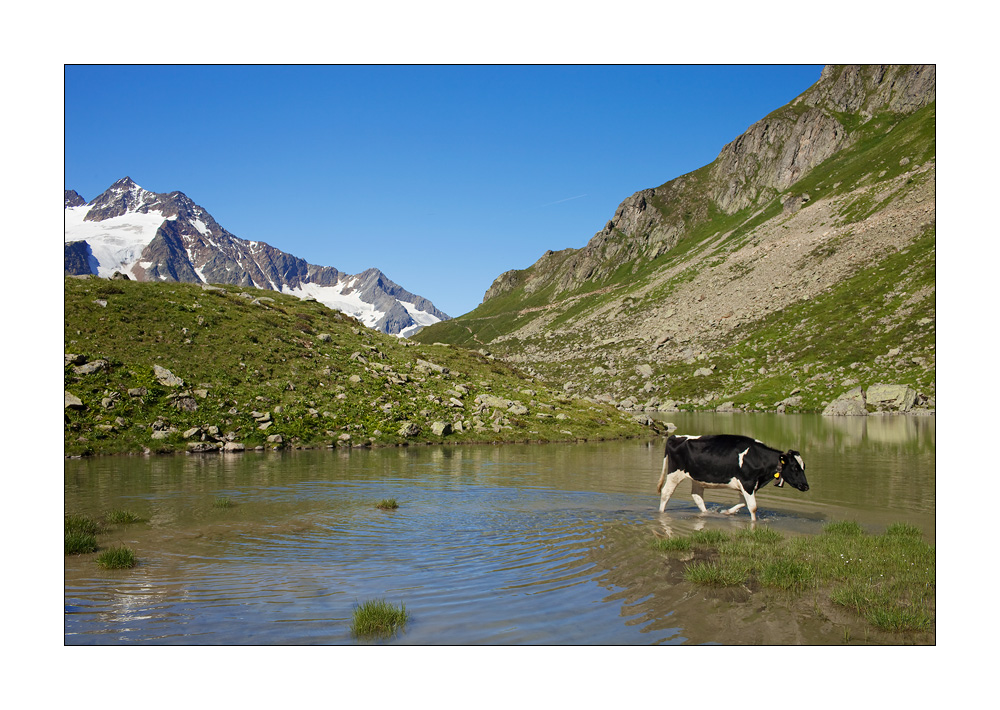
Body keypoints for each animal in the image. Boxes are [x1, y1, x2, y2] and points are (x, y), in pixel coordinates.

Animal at [656, 434, 809, 521]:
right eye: (795, 467)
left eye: (804, 467)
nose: (806, 486)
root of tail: (675, 437)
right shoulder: (747, 483)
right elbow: (753, 507)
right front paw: (754, 523)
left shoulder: (747, 485)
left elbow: (743, 503)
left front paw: (727, 512)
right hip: (674, 474)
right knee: (666, 493)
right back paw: (661, 512)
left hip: (697, 478)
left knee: (697, 496)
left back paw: (707, 513)